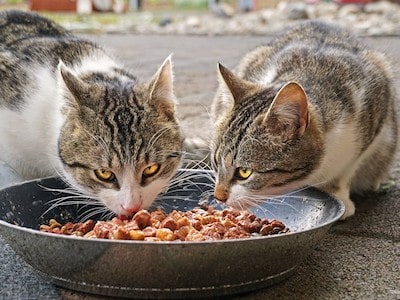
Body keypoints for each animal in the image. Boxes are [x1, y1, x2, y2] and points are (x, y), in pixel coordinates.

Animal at [211, 19, 398, 219]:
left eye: (244, 172)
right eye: (215, 162)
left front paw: (338, 194)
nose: (218, 196)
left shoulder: (374, 112)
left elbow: (345, 170)